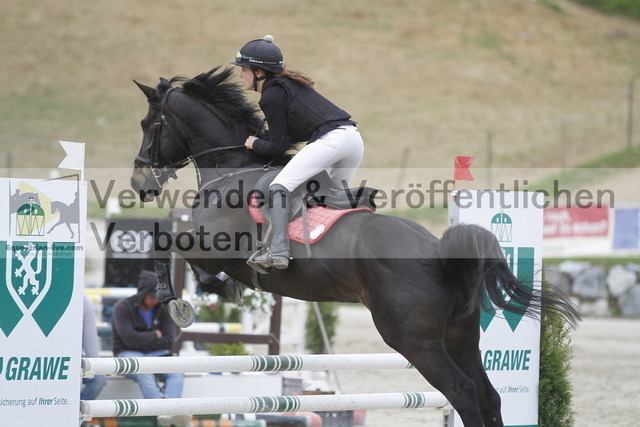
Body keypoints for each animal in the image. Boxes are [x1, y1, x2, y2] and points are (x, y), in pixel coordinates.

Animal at [130, 66, 579, 427]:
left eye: (149, 123)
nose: (139, 184)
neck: (232, 169)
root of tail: (439, 253)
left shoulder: (217, 245)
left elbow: (165, 242)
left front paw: (178, 298)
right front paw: (216, 289)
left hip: (415, 341)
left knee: (464, 392)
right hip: (461, 336)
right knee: (488, 394)